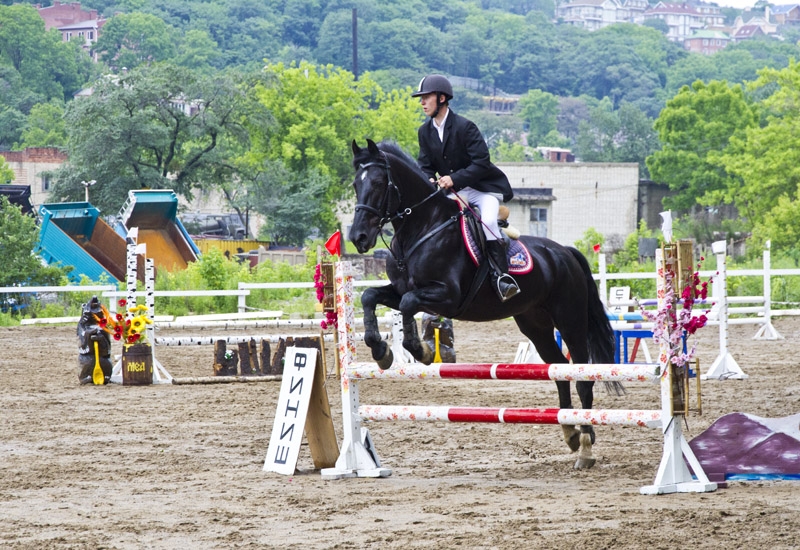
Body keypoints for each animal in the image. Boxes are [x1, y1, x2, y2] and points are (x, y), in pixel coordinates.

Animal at [346, 139, 616, 470]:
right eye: (355, 184)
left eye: (378, 183)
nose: (358, 237)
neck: (422, 227)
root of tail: (565, 252)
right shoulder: (400, 290)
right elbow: (370, 297)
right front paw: (381, 352)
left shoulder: (446, 296)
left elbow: (409, 305)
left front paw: (421, 352)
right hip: (535, 324)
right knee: (559, 369)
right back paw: (571, 433)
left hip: (570, 320)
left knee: (582, 377)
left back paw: (586, 447)